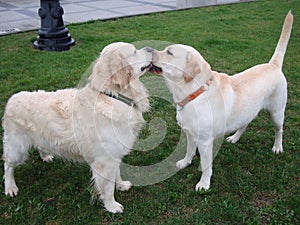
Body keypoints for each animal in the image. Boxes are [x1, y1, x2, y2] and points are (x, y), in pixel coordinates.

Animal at [1, 41, 152, 213]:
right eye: (134, 51)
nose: (150, 48)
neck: (112, 96)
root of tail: (12, 98)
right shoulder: (104, 160)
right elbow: (107, 187)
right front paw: (112, 205)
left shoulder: (114, 153)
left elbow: (117, 173)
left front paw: (121, 185)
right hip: (17, 148)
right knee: (7, 165)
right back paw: (10, 187)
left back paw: (45, 156)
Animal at [150, 11, 292, 192]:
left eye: (169, 52)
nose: (148, 49)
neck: (195, 93)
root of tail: (273, 65)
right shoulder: (190, 133)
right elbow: (189, 151)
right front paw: (184, 163)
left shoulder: (205, 141)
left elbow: (205, 165)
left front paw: (204, 184)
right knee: (245, 124)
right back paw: (235, 138)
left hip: (276, 113)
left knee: (279, 130)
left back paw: (277, 147)